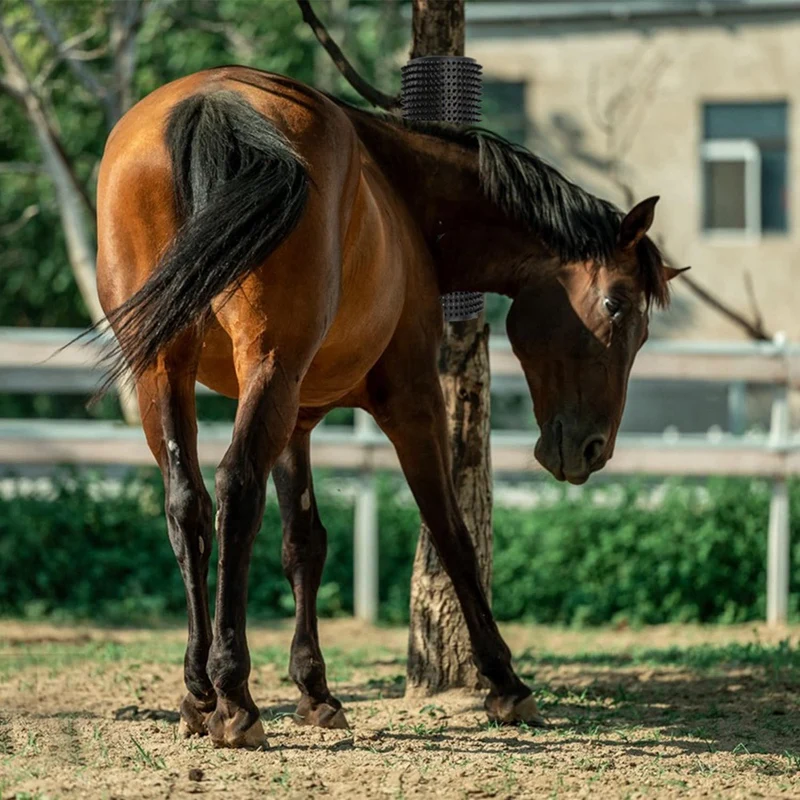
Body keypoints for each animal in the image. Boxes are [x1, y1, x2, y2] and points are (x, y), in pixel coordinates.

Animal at [94, 67, 680, 752]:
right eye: (617, 307)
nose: (591, 449)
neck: (401, 190)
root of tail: (214, 101)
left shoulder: (296, 417)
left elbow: (304, 542)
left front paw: (315, 690)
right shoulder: (413, 398)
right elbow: (451, 533)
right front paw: (506, 682)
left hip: (166, 370)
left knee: (187, 505)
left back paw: (197, 692)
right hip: (266, 366)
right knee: (236, 489)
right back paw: (234, 697)